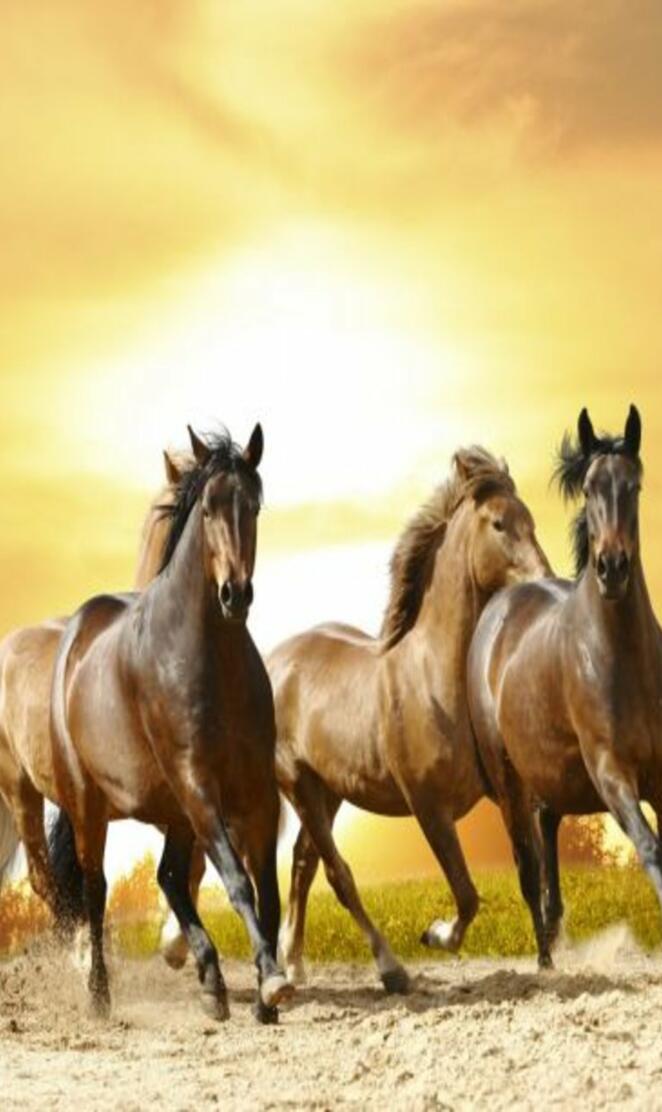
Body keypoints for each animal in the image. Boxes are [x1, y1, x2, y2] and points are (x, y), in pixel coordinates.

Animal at [47, 424, 293, 1021]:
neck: (209, 658)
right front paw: (273, 981)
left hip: (173, 809)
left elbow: (266, 888)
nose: (235, 595)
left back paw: (212, 983)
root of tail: (75, 635)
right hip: (93, 806)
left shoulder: (256, 790)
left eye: (254, 505)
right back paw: (100, 997)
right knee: (96, 890)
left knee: (168, 876)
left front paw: (265, 994)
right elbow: (237, 881)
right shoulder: (198, 783)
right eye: (207, 508)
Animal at [269, 447, 550, 992]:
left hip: (328, 791)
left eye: (531, 518)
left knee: (302, 864)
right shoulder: (428, 807)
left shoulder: (508, 791)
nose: (544, 581)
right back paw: (391, 969)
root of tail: (273, 662)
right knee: (337, 874)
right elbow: (466, 894)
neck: (436, 679)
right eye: (499, 523)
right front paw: (435, 935)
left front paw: (549, 963)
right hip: (299, 785)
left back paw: (293, 963)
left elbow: (529, 872)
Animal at [467, 405, 662, 967]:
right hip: (508, 780)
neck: (620, 659)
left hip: (549, 776)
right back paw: (546, 963)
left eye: (635, 485)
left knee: (549, 832)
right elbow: (650, 850)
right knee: (527, 868)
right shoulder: (612, 774)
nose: (612, 568)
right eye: (591, 488)